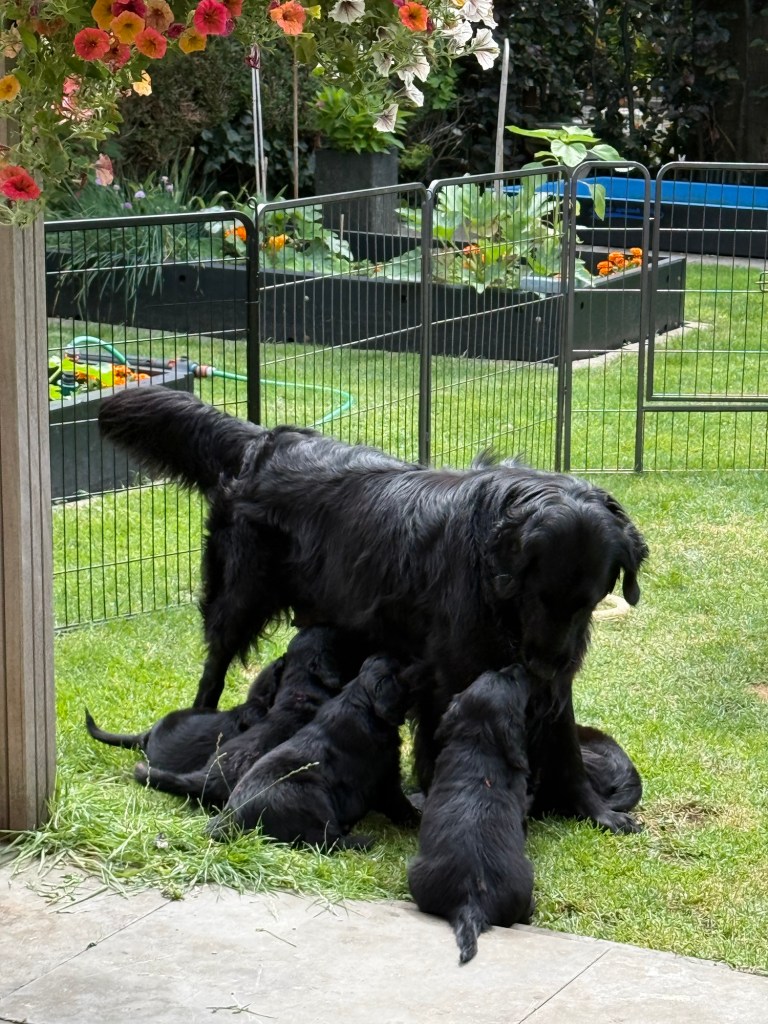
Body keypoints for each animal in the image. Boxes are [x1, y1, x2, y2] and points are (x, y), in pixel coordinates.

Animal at [203, 654, 418, 848]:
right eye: (404, 674)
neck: (364, 702)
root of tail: (229, 819)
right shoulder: (385, 778)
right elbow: (399, 803)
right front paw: (416, 819)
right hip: (311, 794)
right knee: (323, 840)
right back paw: (362, 841)